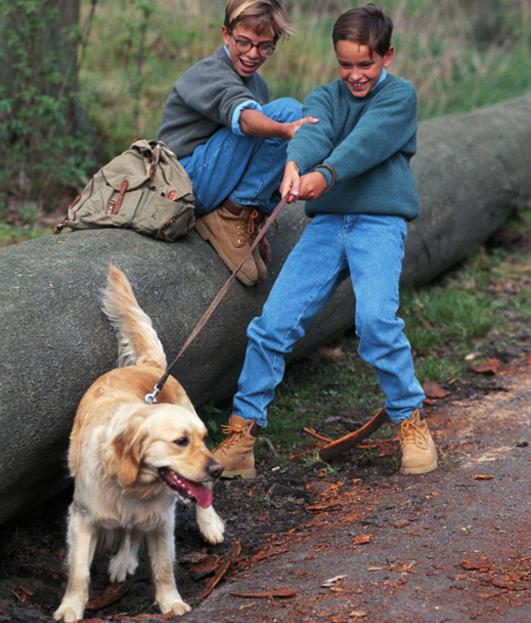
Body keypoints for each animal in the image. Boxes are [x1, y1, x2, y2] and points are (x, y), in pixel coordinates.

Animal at [55, 266, 225, 623]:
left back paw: (210, 524)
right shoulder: (82, 518)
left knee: (201, 499)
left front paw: (171, 603)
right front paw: (70, 608)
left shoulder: (161, 521)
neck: (133, 487)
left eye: (201, 438)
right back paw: (124, 560)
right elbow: (79, 572)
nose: (218, 469)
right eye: (180, 441)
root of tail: (148, 366)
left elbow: (163, 568)